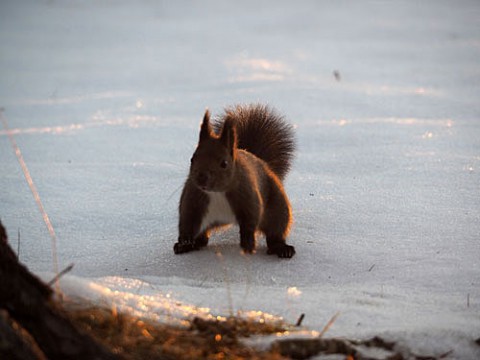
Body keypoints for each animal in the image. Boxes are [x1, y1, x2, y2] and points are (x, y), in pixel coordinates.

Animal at [173, 104, 296, 258]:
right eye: (192, 159)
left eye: (224, 163)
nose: (201, 178)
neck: (217, 193)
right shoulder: (192, 199)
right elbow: (187, 221)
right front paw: (184, 241)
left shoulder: (248, 197)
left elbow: (250, 221)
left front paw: (247, 244)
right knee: (203, 237)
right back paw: (191, 244)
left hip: (278, 207)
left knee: (275, 231)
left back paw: (282, 248)